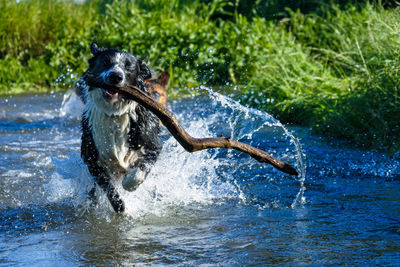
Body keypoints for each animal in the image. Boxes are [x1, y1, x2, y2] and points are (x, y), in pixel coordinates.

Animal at [78, 42, 169, 214]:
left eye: (128, 67)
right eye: (106, 62)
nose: (116, 76)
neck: (114, 113)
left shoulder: (153, 146)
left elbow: (141, 170)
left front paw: (129, 184)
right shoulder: (92, 158)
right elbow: (108, 187)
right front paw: (119, 205)